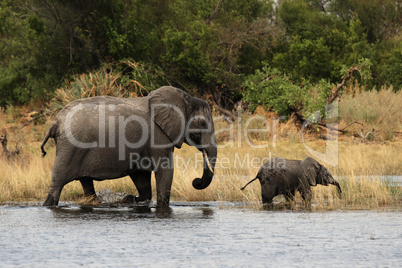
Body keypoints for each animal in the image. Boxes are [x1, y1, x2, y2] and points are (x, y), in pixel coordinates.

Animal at [40, 87, 217, 206]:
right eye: (202, 124)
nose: (196, 181)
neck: (186, 99)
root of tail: (55, 123)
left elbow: (141, 176)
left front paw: (129, 199)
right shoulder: (158, 134)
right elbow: (165, 169)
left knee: (86, 182)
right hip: (70, 147)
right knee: (58, 182)